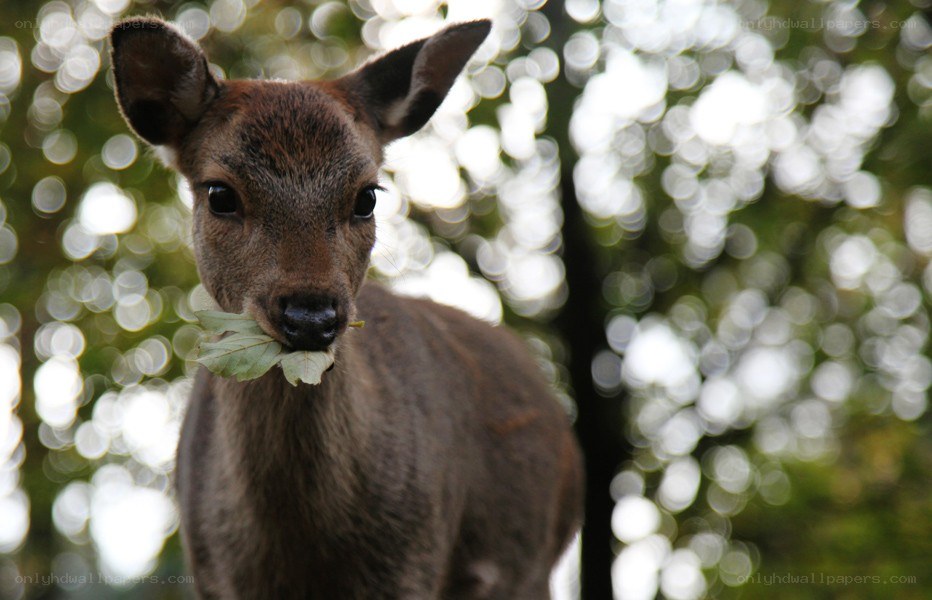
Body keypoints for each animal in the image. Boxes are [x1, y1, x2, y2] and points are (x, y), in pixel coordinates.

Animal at [109, 16, 583, 600]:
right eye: (220, 193)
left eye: (367, 196)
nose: (311, 316)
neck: (302, 557)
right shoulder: (211, 574)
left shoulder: (416, 561)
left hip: (532, 565)